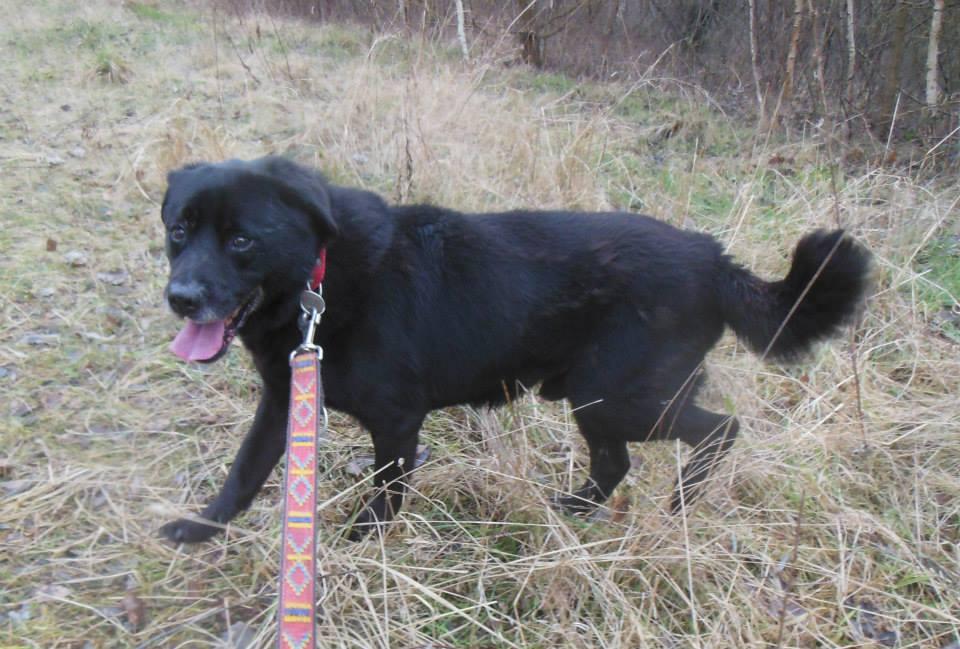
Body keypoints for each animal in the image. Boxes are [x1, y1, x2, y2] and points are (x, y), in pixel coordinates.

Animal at [158, 156, 870, 543]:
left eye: (243, 240)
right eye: (179, 230)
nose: (181, 298)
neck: (320, 279)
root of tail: (716, 261)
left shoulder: (397, 421)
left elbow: (385, 494)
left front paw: (360, 547)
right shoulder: (286, 400)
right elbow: (243, 473)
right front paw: (200, 530)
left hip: (622, 397)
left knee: (721, 430)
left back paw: (681, 504)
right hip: (597, 399)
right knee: (615, 463)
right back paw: (572, 511)